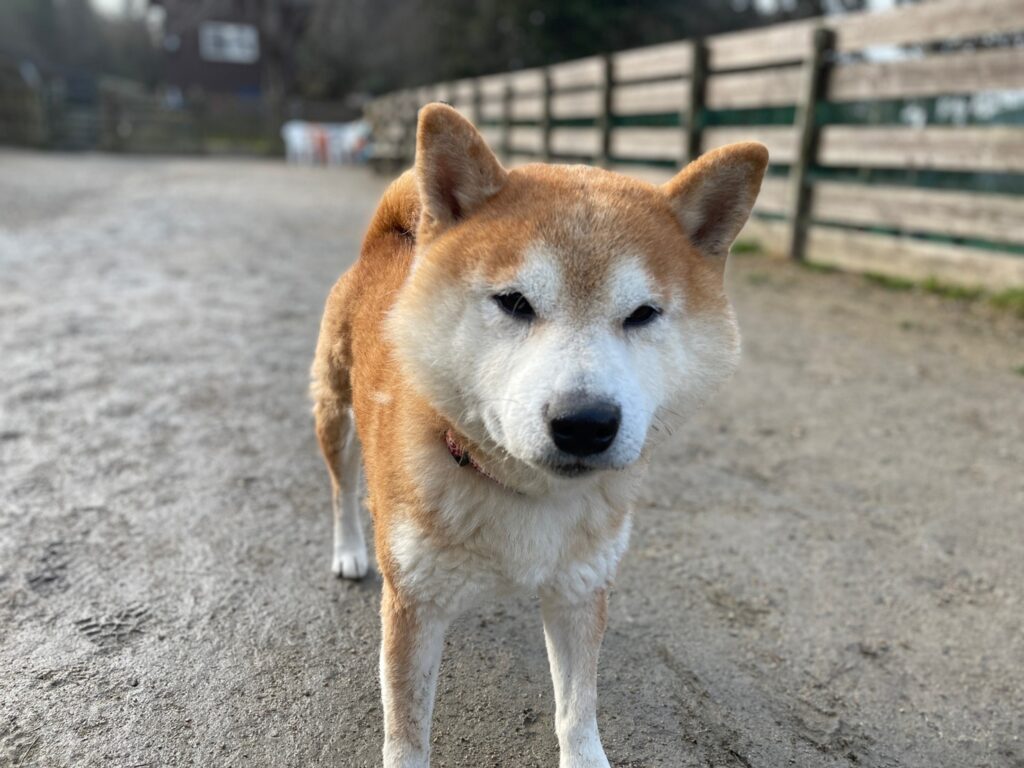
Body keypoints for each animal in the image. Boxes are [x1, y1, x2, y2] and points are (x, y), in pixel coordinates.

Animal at [311, 103, 768, 767]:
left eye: (643, 314)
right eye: (514, 302)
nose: (586, 423)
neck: (527, 496)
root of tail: (384, 244)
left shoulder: (580, 590)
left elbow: (578, 715)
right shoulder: (414, 603)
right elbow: (408, 734)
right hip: (335, 416)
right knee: (342, 489)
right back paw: (348, 548)